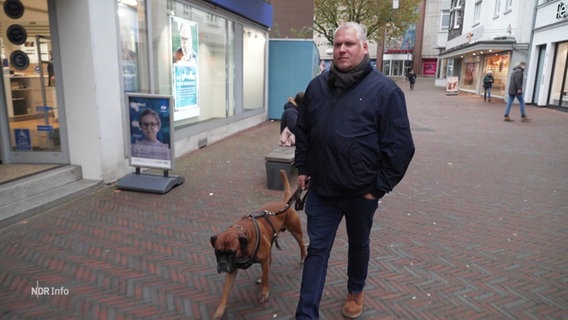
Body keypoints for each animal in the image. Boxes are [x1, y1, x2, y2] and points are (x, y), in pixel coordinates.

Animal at [211, 169, 306, 318]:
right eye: (217, 252)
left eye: (231, 253)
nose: (222, 264)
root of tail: (284, 203)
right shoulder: (232, 270)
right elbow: (225, 292)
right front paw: (219, 312)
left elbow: (267, 278)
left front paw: (264, 293)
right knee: (269, 262)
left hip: (296, 231)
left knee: (302, 244)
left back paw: (303, 257)